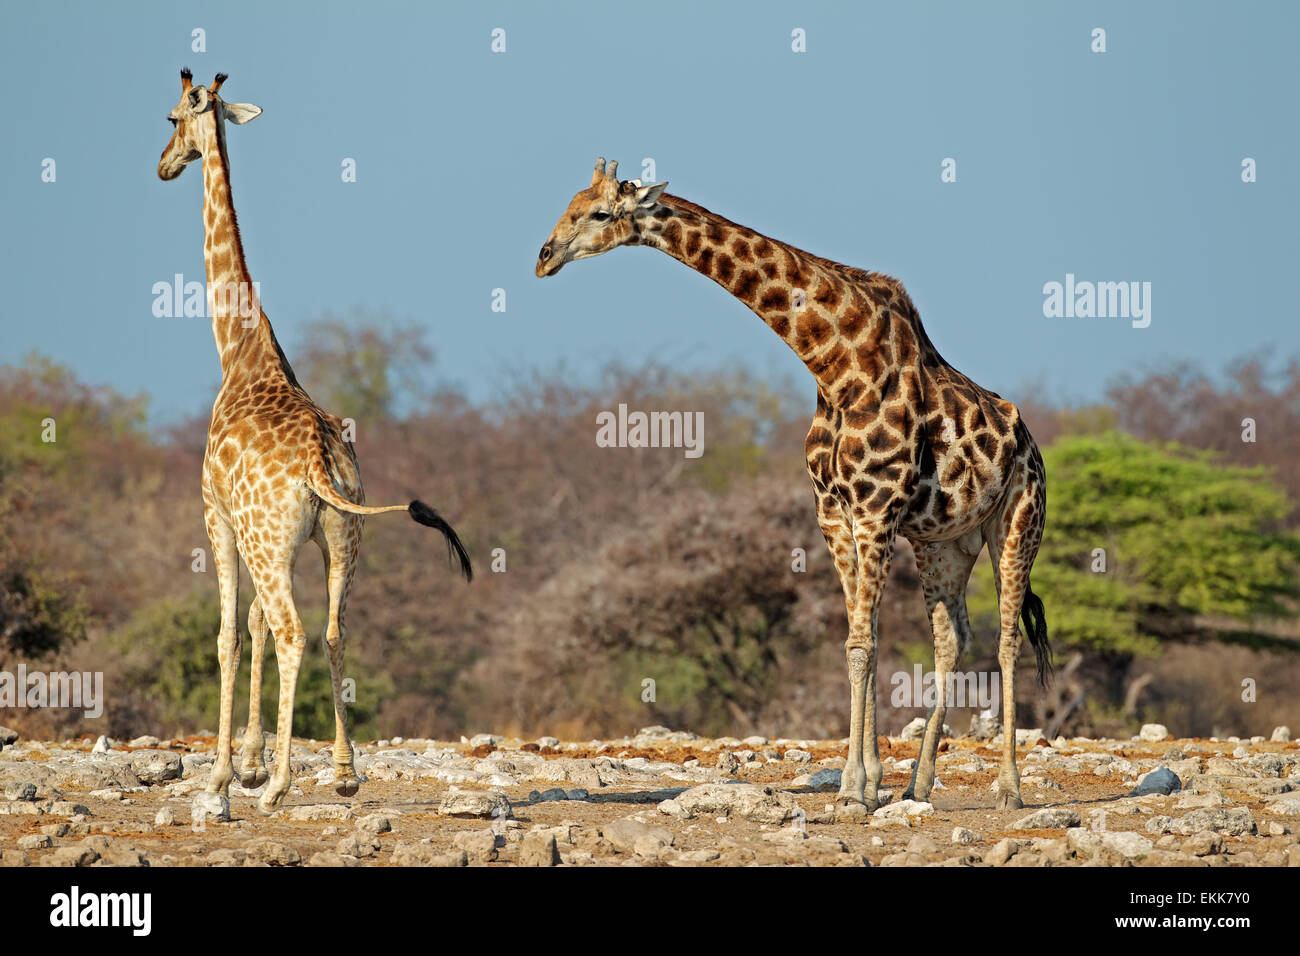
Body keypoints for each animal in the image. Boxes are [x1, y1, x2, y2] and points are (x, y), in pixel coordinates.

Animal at [157, 70, 473, 811]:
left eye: (172, 118)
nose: (162, 164)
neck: (240, 350)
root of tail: (319, 463)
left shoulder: (218, 516)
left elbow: (230, 635)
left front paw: (226, 772)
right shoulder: (283, 539)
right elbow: (254, 628)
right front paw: (252, 759)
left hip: (273, 542)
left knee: (294, 632)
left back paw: (278, 786)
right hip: (340, 539)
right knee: (330, 630)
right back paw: (345, 771)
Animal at [538, 158, 1055, 816]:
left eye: (600, 213)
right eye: (569, 205)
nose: (544, 257)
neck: (835, 365)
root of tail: (1032, 445)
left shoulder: (875, 512)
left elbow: (863, 644)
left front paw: (856, 789)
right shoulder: (835, 516)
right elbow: (863, 642)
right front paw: (866, 782)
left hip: (1016, 524)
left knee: (1008, 638)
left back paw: (1010, 786)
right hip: (943, 544)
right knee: (952, 637)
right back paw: (919, 782)